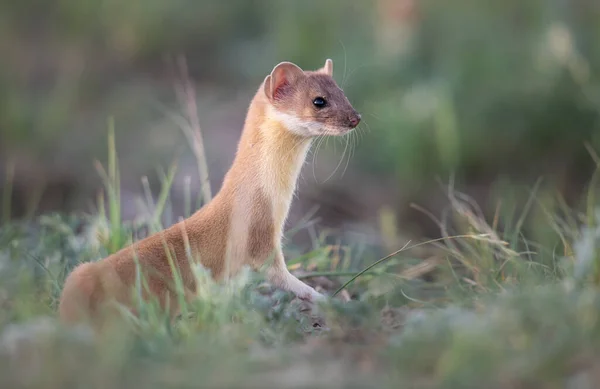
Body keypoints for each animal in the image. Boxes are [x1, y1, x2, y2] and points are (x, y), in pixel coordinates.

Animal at [58, 57, 360, 324]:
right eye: (319, 100)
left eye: (343, 93)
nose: (355, 118)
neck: (269, 199)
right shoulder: (260, 239)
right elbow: (286, 280)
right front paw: (329, 300)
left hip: (78, 271)